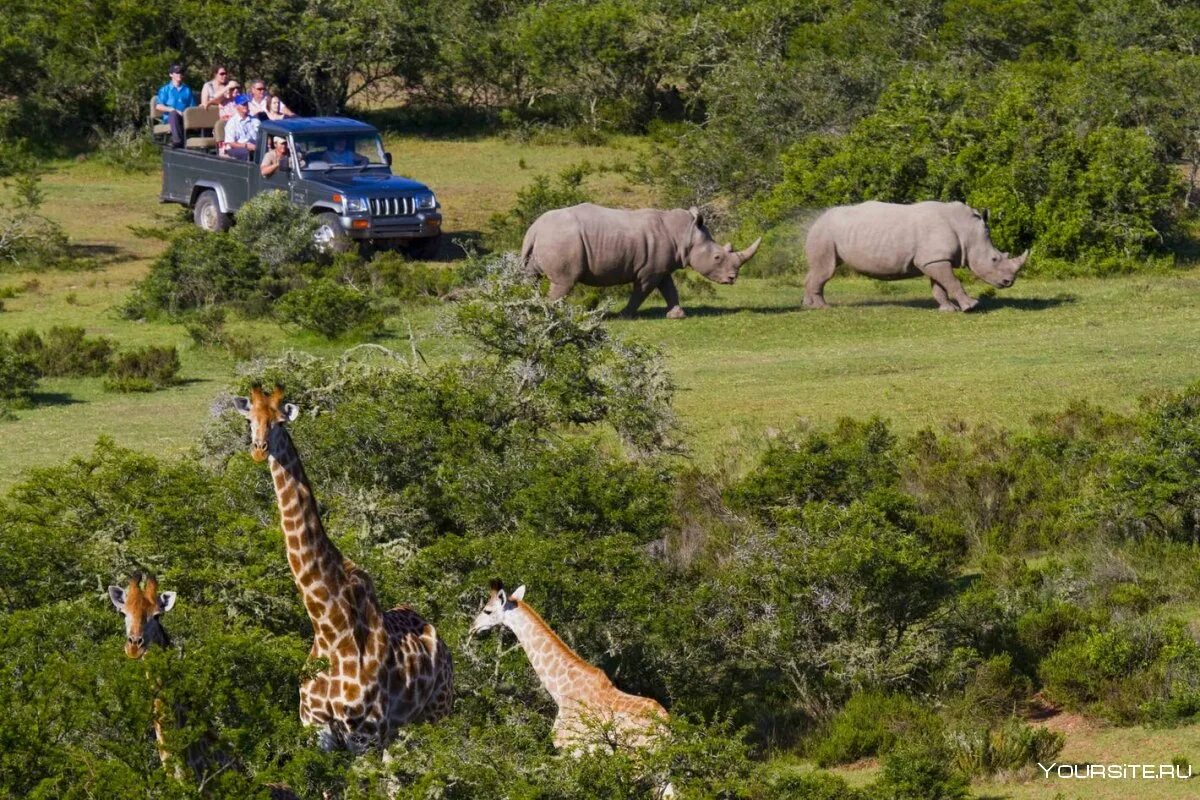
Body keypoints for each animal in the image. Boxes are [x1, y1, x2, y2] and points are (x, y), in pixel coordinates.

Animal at [231, 383, 451, 753]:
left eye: (279, 422)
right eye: (250, 419)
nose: (259, 451)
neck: (329, 627)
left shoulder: (364, 735)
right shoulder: (317, 730)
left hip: (436, 713)